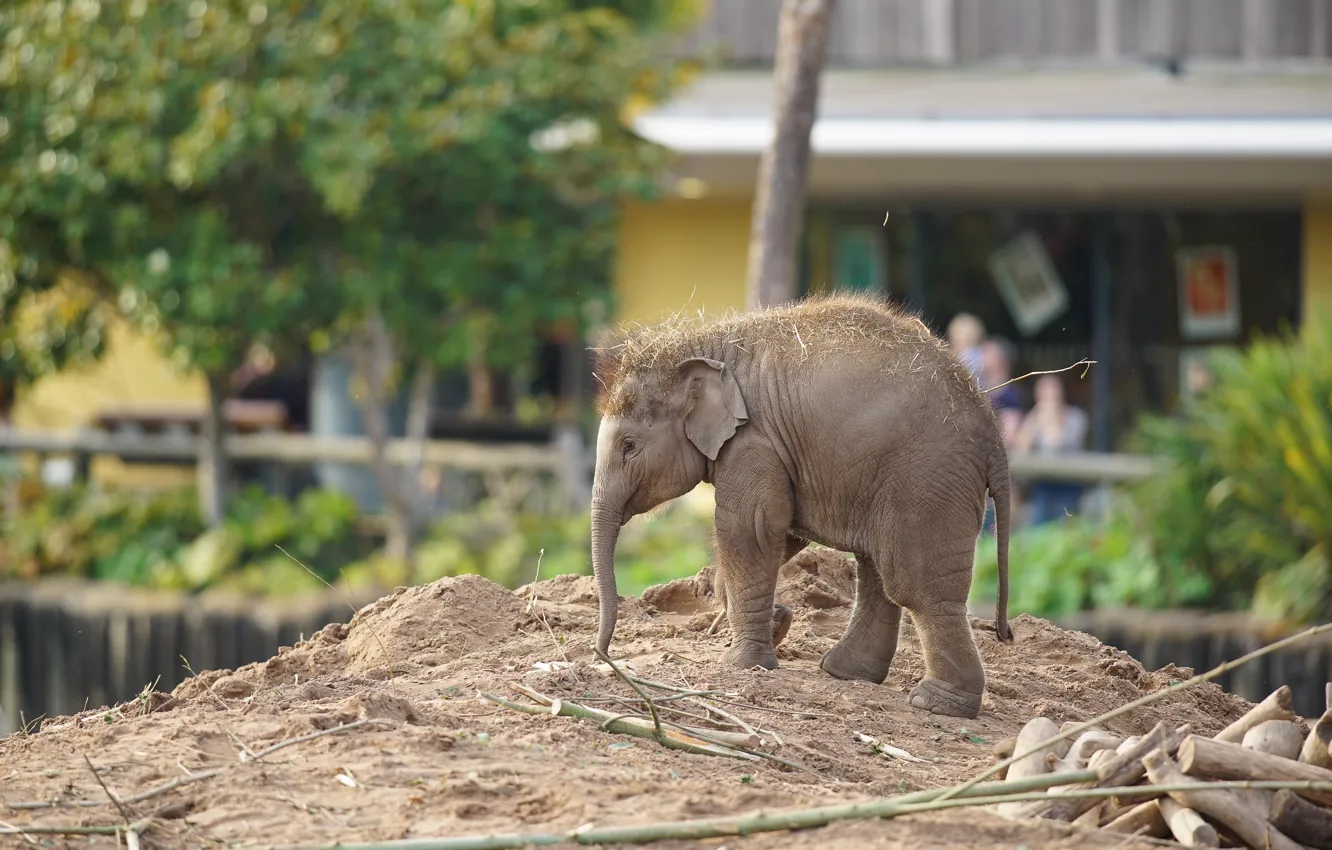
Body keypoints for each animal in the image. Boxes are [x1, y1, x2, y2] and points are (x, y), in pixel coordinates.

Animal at [588, 293, 1012, 719]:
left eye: (629, 446)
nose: (604, 654)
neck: (702, 344)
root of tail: (992, 429)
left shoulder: (753, 443)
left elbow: (751, 528)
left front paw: (745, 663)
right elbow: (784, 531)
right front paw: (775, 623)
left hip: (926, 482)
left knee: (914, 586)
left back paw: (937, 703)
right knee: (875, 569)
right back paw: (844, 672)